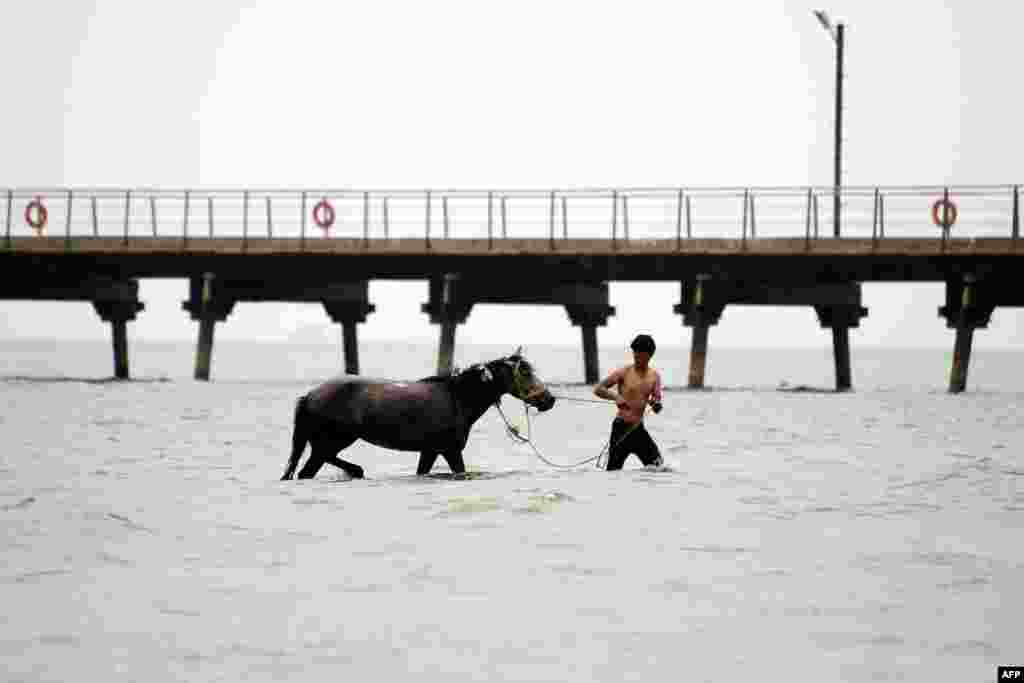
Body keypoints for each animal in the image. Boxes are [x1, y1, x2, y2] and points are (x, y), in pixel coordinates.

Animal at [278, 352, 552, 481]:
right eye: (524, 373)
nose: (549, 400)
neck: (457, 397)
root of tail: (309, 395)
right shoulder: (451, 451)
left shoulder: (430, 451)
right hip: (333, 441)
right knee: (310, 468)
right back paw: (355, 470)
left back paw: (356, 470)